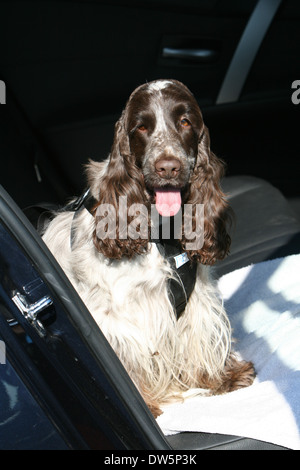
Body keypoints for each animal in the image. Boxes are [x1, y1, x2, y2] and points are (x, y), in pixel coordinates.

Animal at [42, 79, 255, 416]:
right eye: (141, 127)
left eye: (185, 122)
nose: (167, 167)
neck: (162, 231)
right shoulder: (118, 315)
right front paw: (147, 403)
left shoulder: (196, 296)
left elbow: (201, 334)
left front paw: (222, 377)